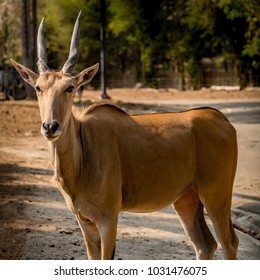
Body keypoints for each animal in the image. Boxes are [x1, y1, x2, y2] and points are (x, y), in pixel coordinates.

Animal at [11, 11, 239, 260]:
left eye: (70, 87)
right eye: (38, 88)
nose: (50, 126)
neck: (83, 153)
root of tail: (221, 119)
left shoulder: (108, 218)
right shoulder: (85, 222)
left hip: (217, 196)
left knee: (229, 243)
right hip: (186, 199)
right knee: (205, 245)